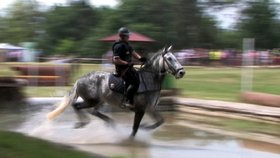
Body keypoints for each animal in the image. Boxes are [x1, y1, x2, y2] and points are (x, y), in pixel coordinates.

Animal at [47, 45, 185, 137]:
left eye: (175, 57)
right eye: (169, 58)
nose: (182, 72)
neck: (149, 79)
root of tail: (79, 80)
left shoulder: (150, 109)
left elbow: (160, 121)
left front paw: (146, 127)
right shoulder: (140, 109)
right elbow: (135, 128)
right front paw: (132, 139)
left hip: (99, 101)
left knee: (91, 111)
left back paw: (104, 122)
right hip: (92, 100)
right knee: (78, 106)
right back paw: (84, 122)